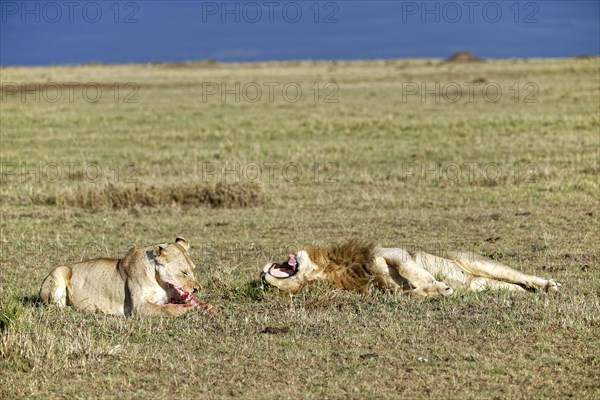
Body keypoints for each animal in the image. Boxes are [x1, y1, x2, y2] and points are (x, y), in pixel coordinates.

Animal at [38, 236, 216, 318]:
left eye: (193, 269)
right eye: (184, 272)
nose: (197, 288)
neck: (161, 282)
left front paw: (208, 306)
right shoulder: (139, 307)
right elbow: (167, 309)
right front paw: (189, 309)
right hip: (59, 270)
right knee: (54, 307)